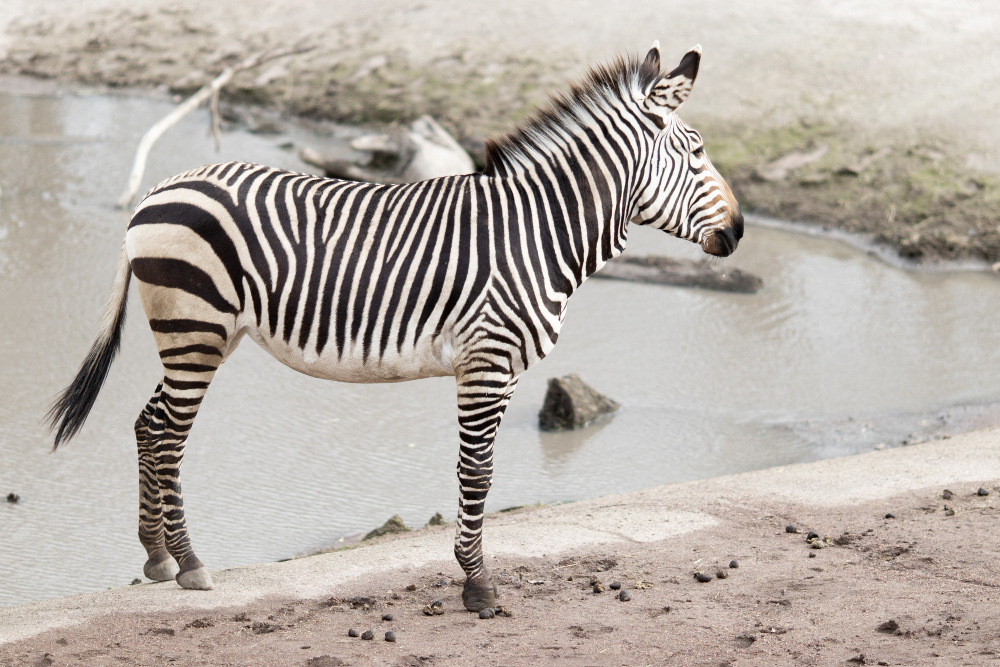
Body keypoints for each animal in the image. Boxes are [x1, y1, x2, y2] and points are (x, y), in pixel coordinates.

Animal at [48, 42, 743, 612]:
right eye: (697, 152)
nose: (738, 231)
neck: (536, 231)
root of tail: (155, 192)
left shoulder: (505, 369)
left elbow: (478, 469)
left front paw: (472, 575)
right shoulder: (487, 360)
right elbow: (477, 470)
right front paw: (478, 586)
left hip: (199, 335)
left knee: (149, 424)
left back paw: (158, 558)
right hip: (196, 328)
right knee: (168, 436)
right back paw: (190, 564)